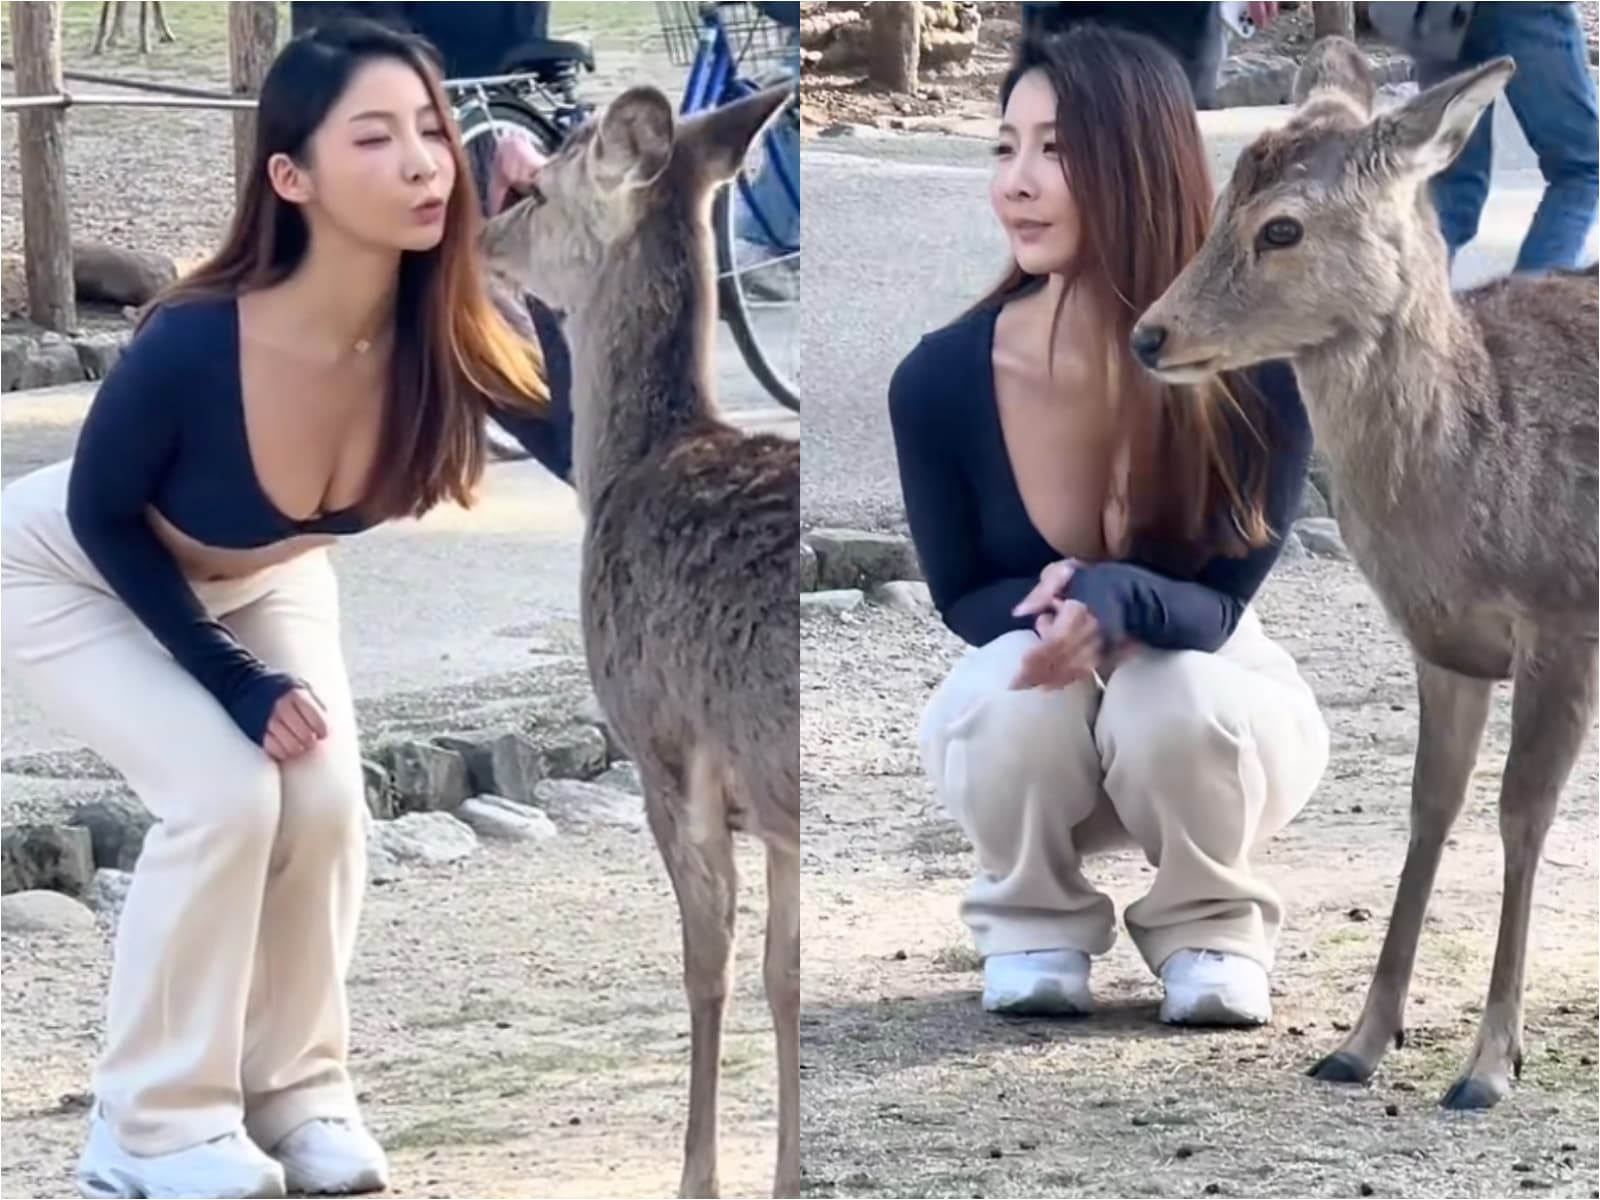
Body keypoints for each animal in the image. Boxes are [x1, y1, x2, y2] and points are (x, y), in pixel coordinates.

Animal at [480, 84, 800, 1196]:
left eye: (533, 188)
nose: (480, 234)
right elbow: (783, 971)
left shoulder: (665, 748)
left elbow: (709, 965)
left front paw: (700, 1175)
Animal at [1130, 36, 1598, 1111]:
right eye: (1219, 200)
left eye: (1282, 226)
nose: (1148, 335)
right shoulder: (1445, 645)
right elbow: (1429, 811)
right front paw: (1359, 1043)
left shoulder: (1563, 614)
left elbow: (1522, 814)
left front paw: (1489, 1065)